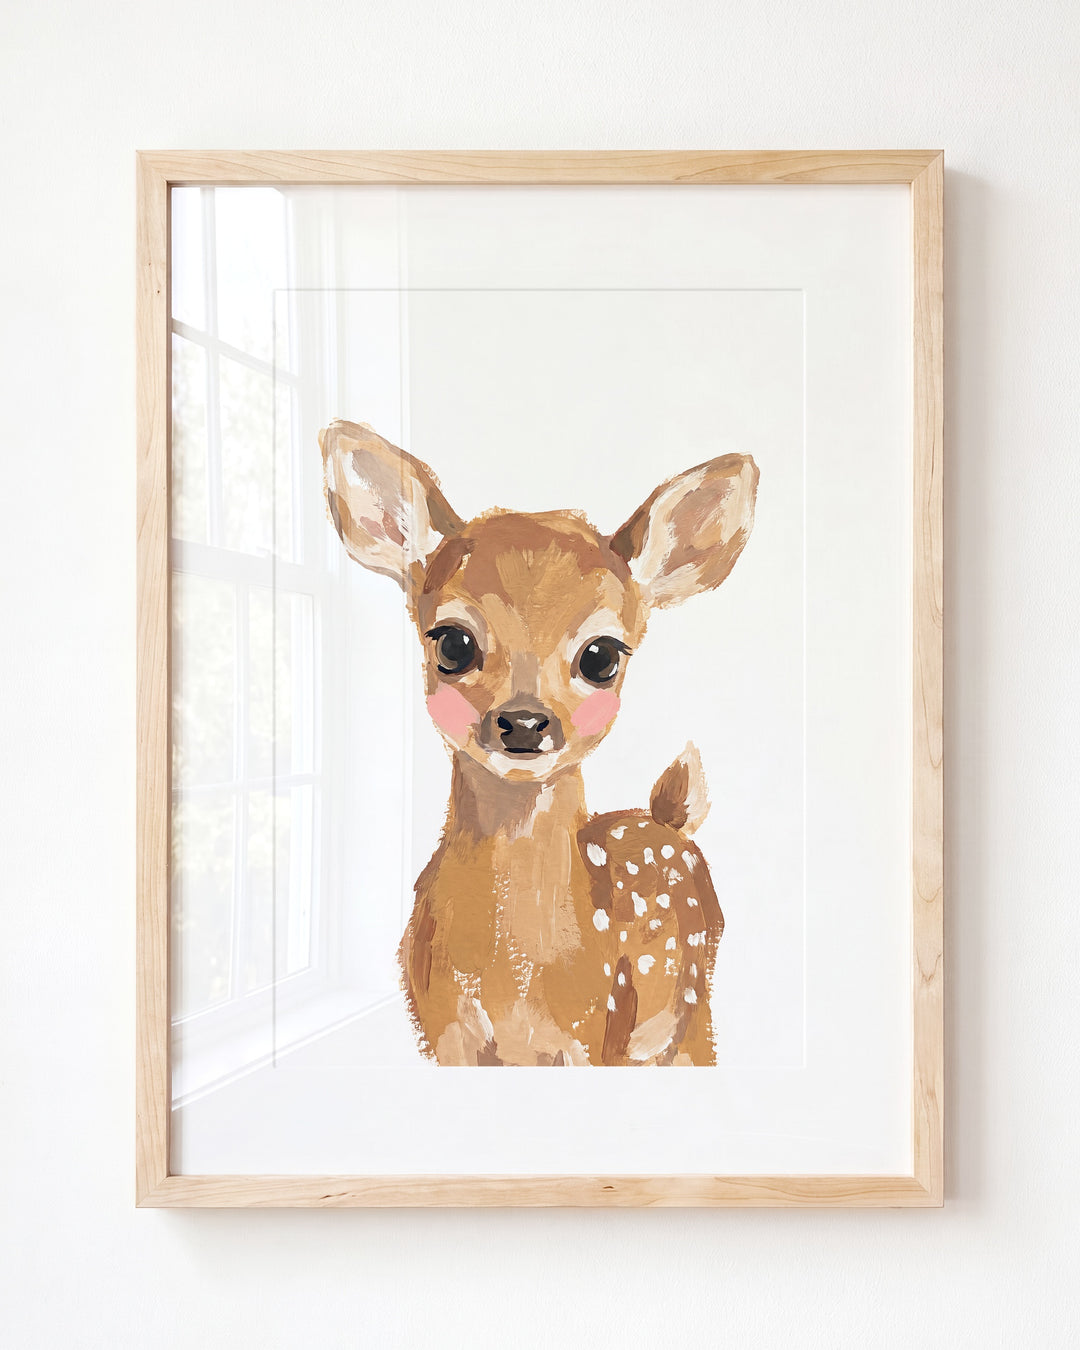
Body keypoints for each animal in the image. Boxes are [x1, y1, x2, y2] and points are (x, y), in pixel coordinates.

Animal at [321, 419, 758, 1066]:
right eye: (452, 642)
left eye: (602, 655)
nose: (525, 722)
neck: (517, 981)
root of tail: (669, 819)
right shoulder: (442, 1033)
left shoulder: (593, 1034)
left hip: (692, 1008)